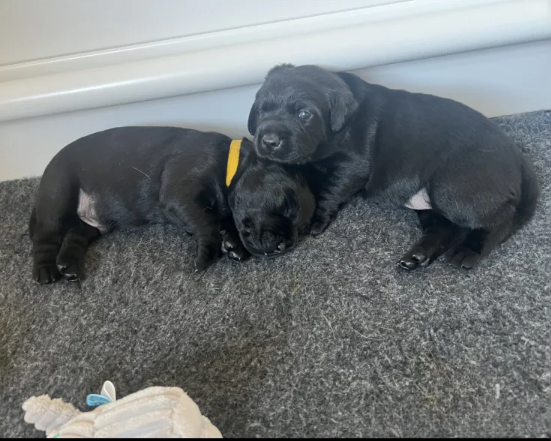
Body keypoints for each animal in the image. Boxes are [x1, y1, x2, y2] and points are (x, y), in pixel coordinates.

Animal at [29, 125, 314, 284]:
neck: (228, 164)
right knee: (46, 236)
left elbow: (219, 220)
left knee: (75, 236)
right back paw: (46, 271)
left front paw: (233, 244)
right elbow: (206, 224)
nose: (286, 245)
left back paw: (69, 267)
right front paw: (206, 256)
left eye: (302, 230)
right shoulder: (181, 193)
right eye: (286, 204)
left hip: (92, 224)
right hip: (58, 192)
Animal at [248, 62, 540, 268]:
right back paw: (418, 256)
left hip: (453, 187)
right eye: (261, 109)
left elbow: (329, 192)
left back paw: (470, 250)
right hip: (431, 202)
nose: (268, 141)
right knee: (445, 229)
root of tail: (517, 156)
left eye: (304, 114)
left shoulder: (353, 165)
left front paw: (317, 220)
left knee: (500, 218)